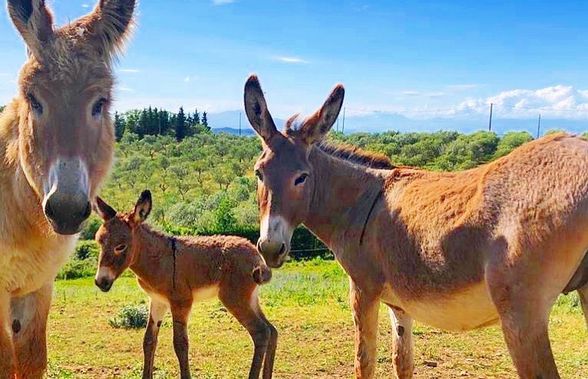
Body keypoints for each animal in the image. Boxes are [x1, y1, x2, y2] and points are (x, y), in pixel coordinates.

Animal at [93, 193, 276, 379]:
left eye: (120, 247)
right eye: (99, 242)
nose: (100, 282)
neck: (158, 259)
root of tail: (256, 255)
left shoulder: (181, 302)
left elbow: (180, 344)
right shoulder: (158, 301)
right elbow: (149, 341)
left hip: (234, 298)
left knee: (261, 333)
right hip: (250, 299)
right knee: (272, 331)